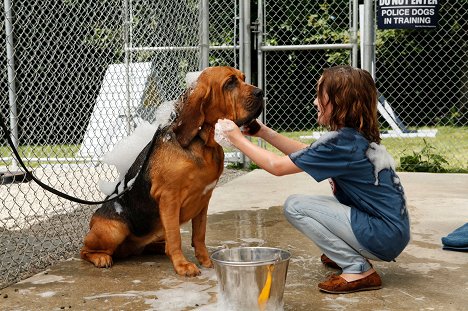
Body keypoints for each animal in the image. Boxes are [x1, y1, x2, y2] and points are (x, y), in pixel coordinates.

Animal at [80, 67, 264, 276]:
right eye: (230, 83)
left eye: (243, 78)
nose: (261, 92)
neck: (203, 143)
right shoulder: (169, 198)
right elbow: (176, 237)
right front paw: (182, 265)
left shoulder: (204, 199)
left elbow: (199, 235)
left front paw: (206, 260)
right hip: (115, 230)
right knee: (85, 250)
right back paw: (101, 257)